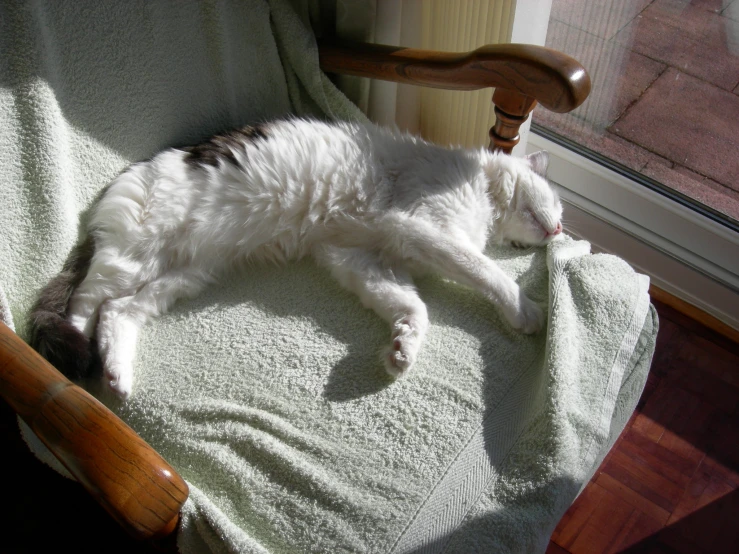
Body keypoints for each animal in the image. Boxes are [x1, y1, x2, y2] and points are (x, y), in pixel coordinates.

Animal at [27, 118, 560, 398]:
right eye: (556, 202)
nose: (556, 232)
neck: (482, 190)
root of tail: (119, 183)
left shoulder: (358, 257)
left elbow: (414, 308)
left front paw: (401, 350)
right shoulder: (421, 227)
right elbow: (484, 271)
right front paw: (526, 310)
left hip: (181, 274)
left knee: (118, 313)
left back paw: (117, 373)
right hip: (133, 258)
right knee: (82, 305)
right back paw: (77, 366)